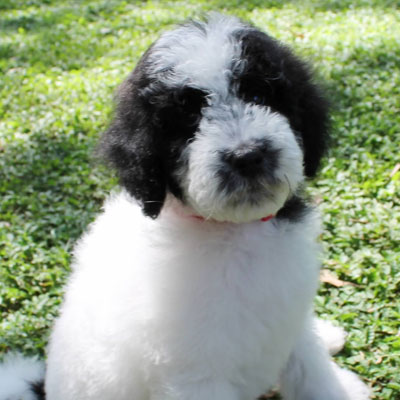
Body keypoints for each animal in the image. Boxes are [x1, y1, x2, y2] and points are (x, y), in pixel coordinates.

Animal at [0, 12, 370, 400]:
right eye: (188, 119)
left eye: (257, 94)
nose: (247, 156)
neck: (234, 230)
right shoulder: (197, 376)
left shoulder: (290, 317)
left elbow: (312, 369)